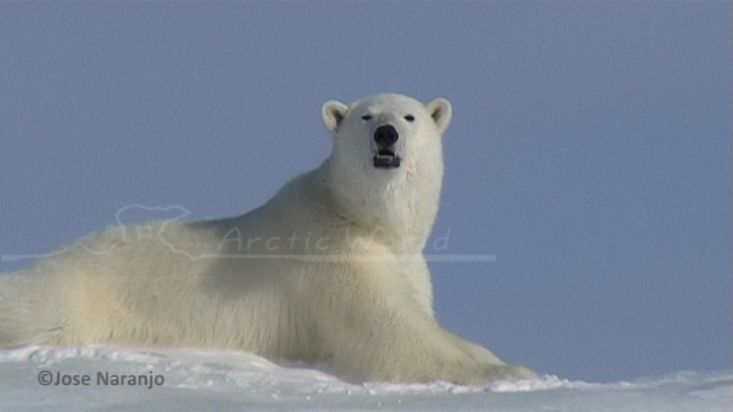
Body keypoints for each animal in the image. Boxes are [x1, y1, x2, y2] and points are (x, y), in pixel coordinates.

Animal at [0, 93, 532, 384]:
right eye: (365, 116)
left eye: (409, 117)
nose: (385, 135)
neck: (359, 216)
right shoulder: (331, 257)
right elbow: (389, 333)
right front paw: (507, 375)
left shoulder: (403, 263)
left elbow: (423, 318)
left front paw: (499, 360)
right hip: (76, 292)